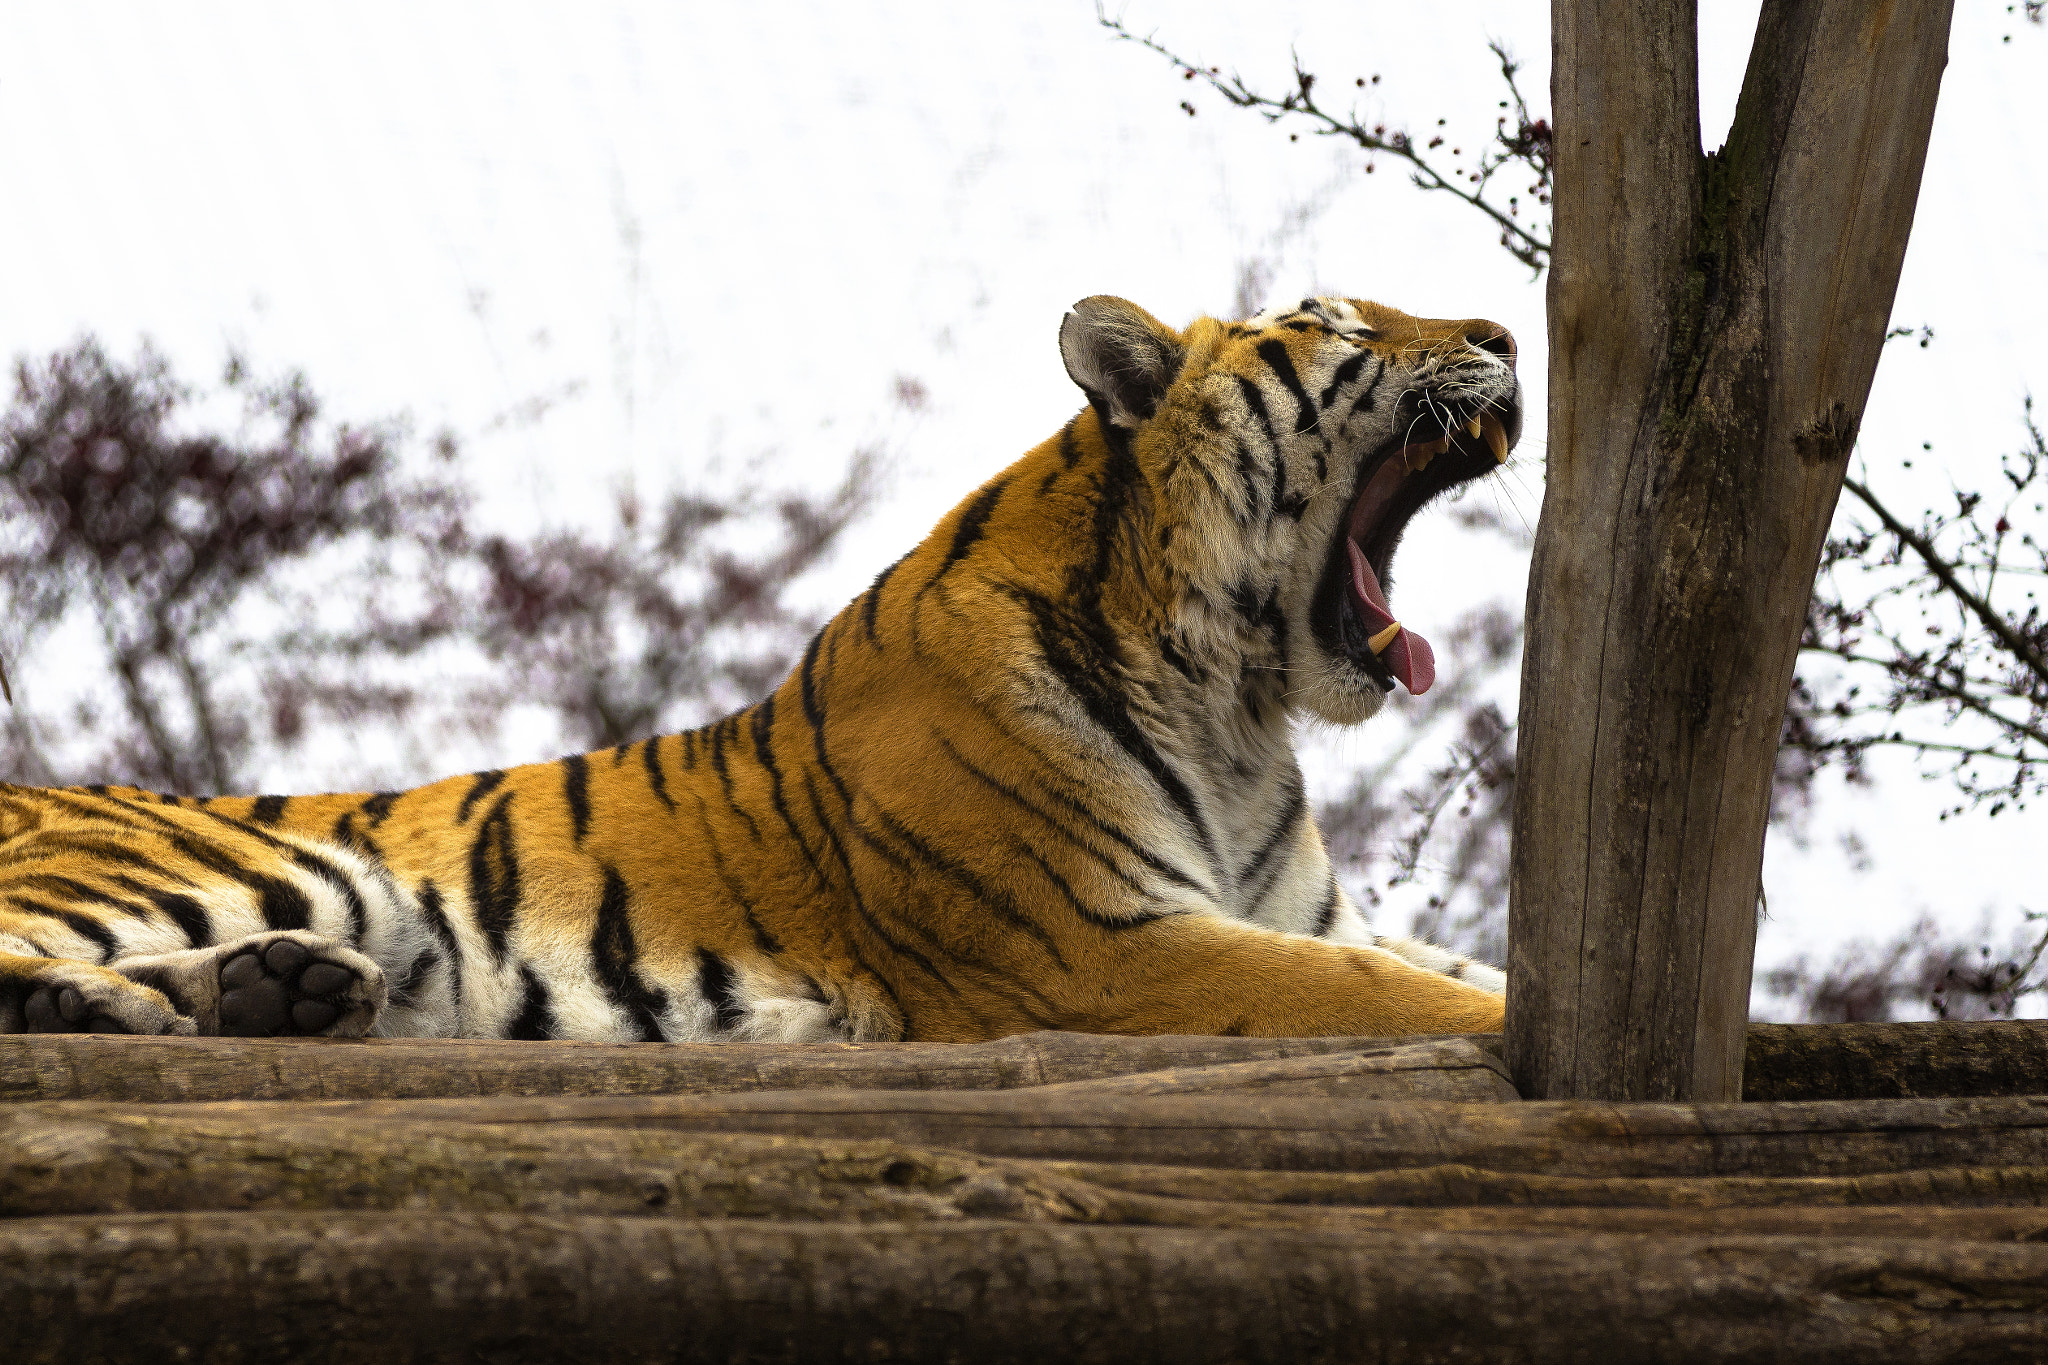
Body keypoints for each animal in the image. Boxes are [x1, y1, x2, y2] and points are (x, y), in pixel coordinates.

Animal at [0, 293, 1521, 1044]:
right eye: (1338, 325)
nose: (1506, 336)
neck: (1232, 705)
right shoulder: (1099, 949)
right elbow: (1412, 1001)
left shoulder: (1295, 916)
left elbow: (1461, 966)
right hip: (250, 864)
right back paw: (114, 1001)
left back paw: (274, 994)